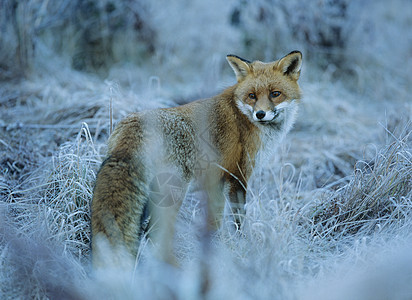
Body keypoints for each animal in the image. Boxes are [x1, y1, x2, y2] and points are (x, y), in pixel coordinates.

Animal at [90, 50, 302, 268]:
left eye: (275, 94)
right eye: (252, 96)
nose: (260, 114)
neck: (243, 117)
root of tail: (132, 127)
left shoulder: (217, 182)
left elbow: (215, 222)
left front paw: (214, 252)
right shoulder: (238, 177)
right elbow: (238, 222)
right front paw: (243, 247)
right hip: (173, 195)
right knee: (154, 233)